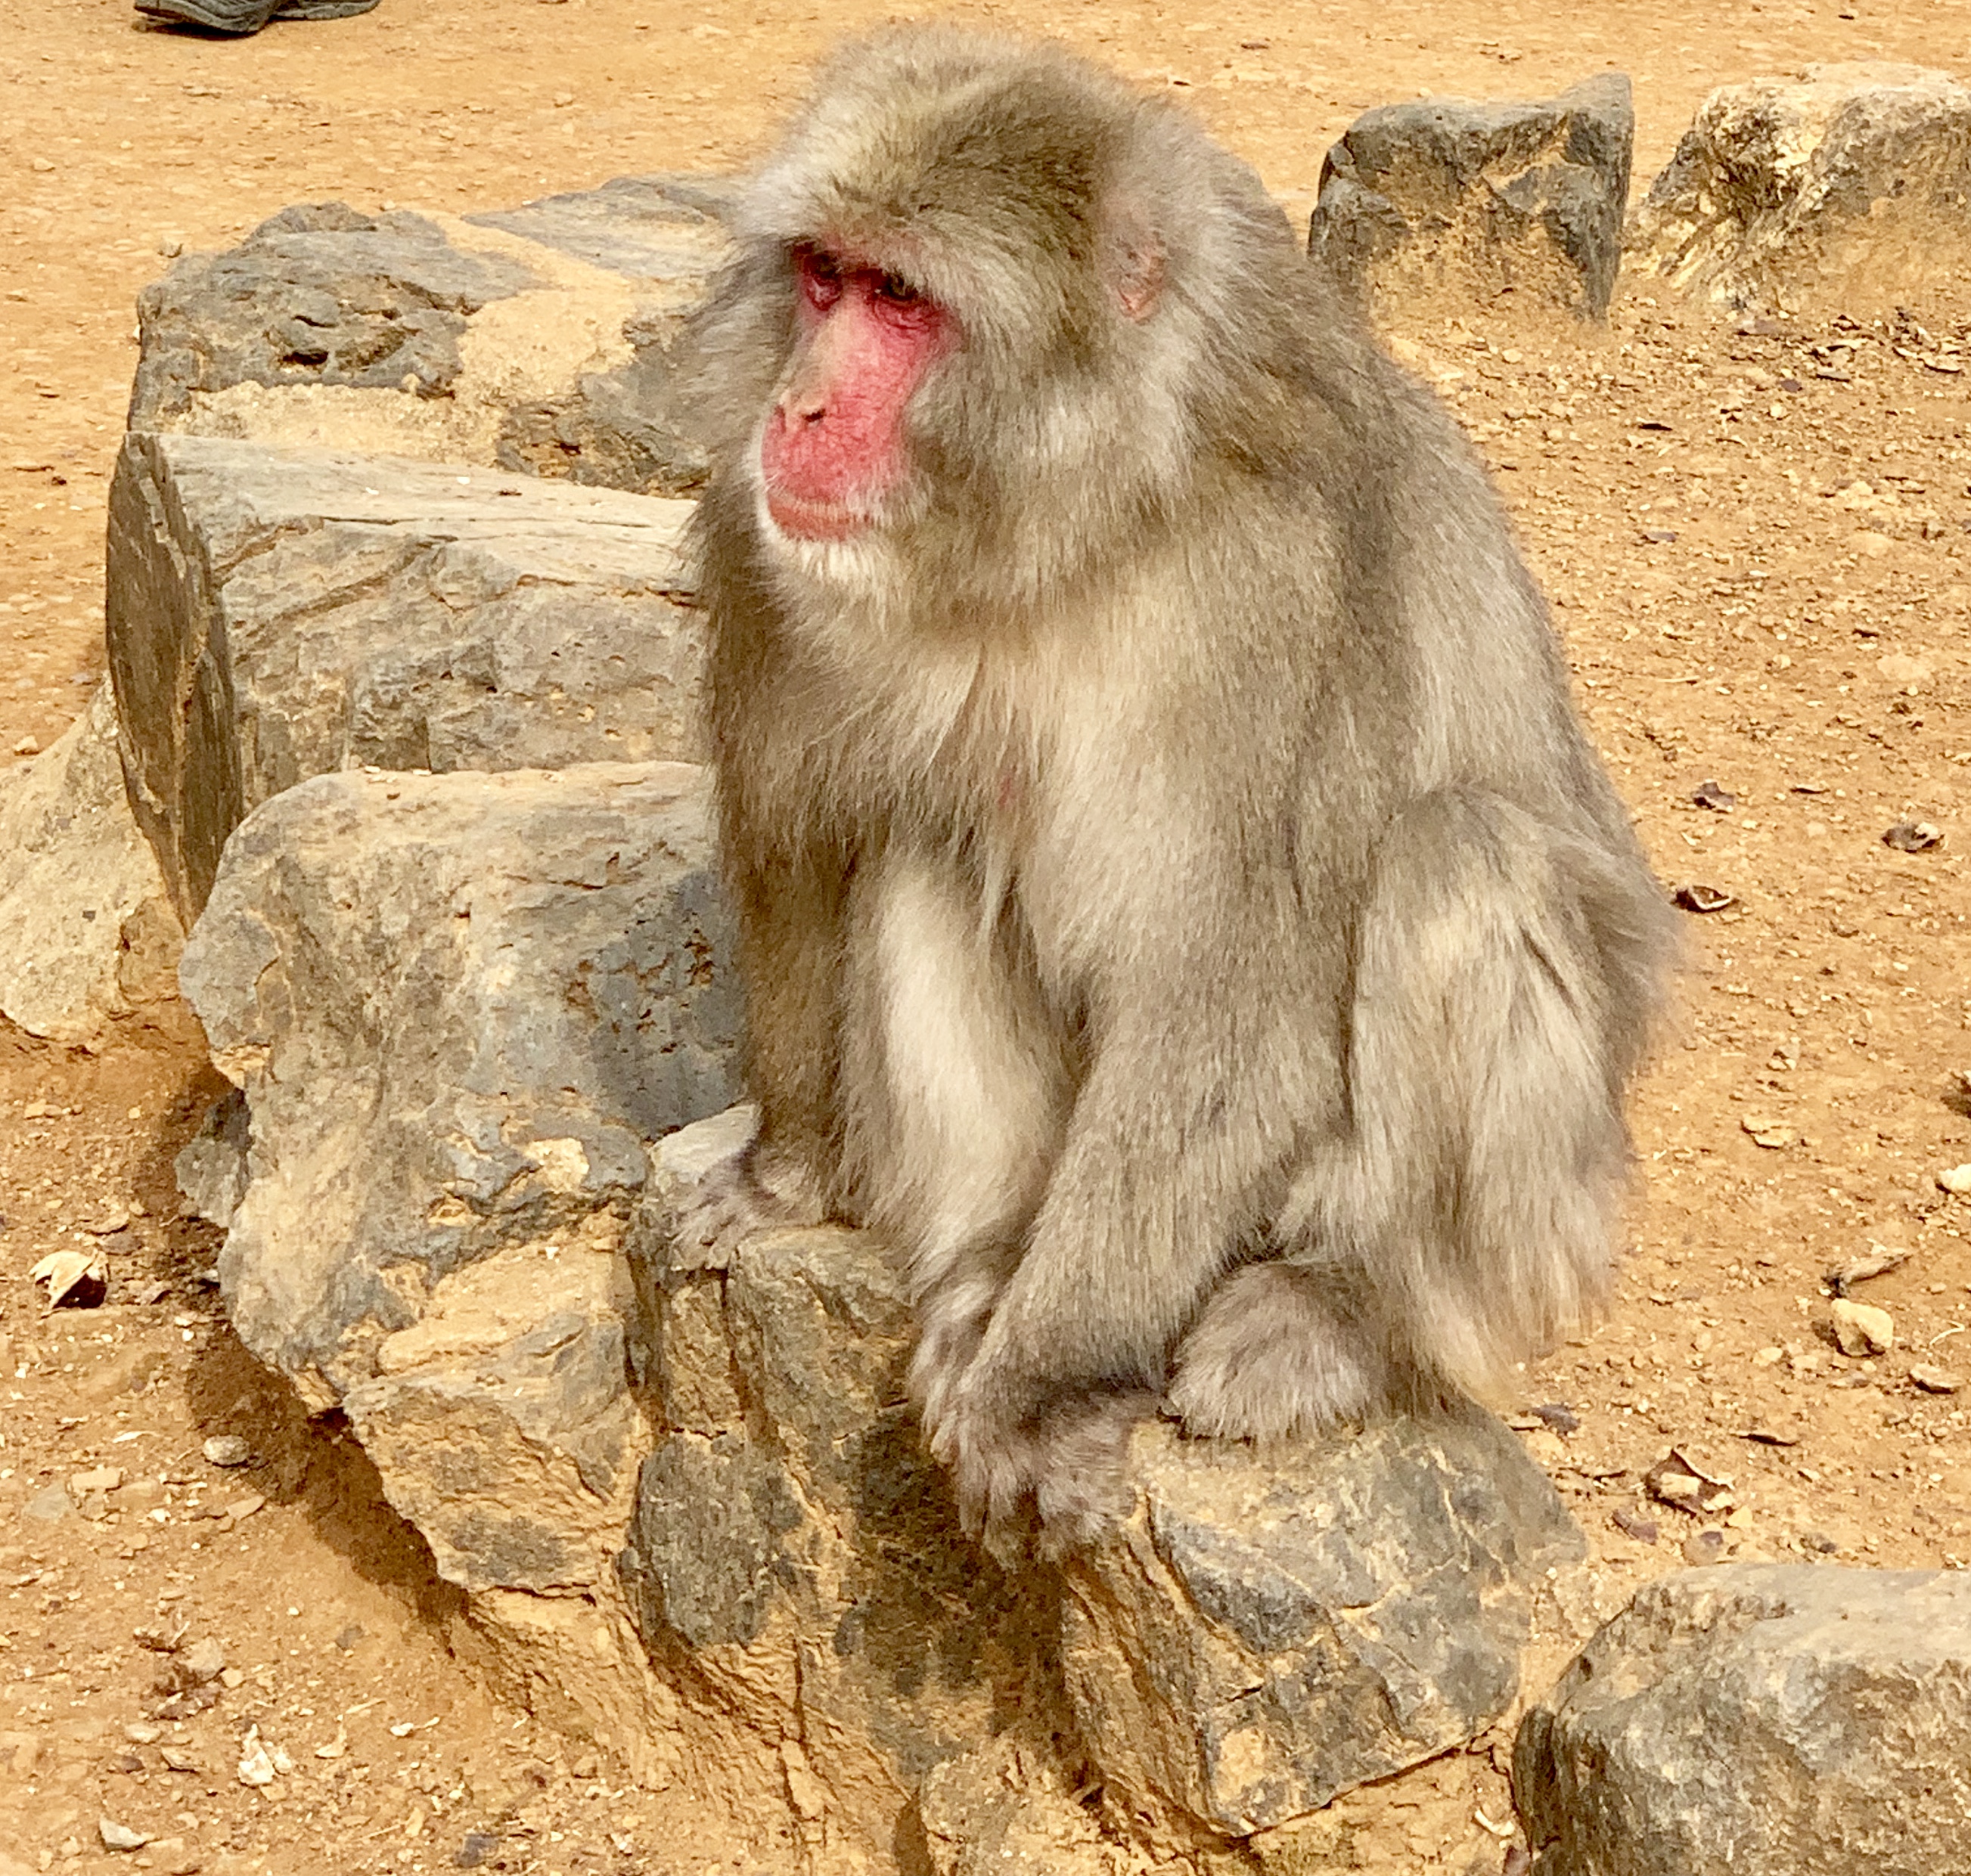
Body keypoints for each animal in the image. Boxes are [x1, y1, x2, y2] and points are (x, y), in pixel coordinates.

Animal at [682, 27, 1678, 1561]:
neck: (1057, 529)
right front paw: (788, 1174)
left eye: (903, 302)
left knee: (1457, 857)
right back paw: (989, 1258)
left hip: (1542, 1219)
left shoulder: (1267, 595)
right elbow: (804, 848)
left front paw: (1043, 1380)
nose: (797, 406)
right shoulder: (761, 528)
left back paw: (1335, 1310)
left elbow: (1229, 1003)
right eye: (823, 279)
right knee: (929, 836)